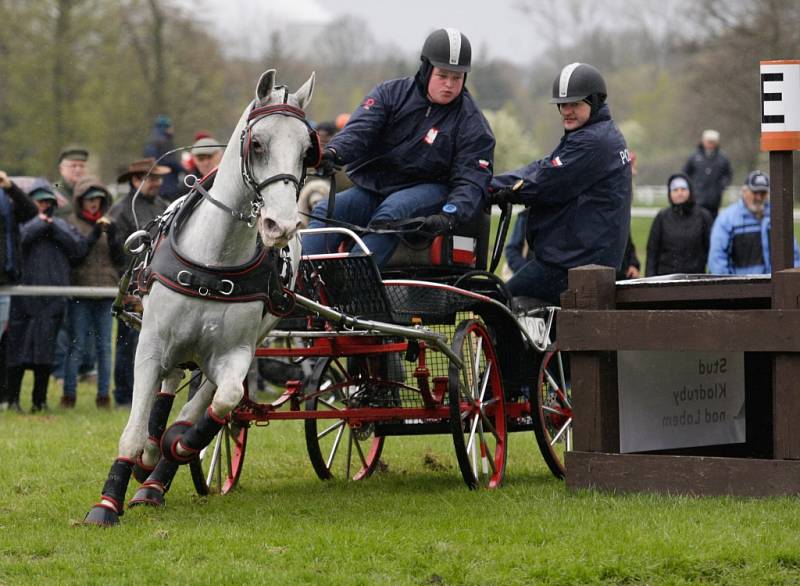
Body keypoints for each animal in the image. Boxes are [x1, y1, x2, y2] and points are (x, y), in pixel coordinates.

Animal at [84, 69, 316, 524]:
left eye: (306, 151)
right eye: (257, 144)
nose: (280, 225)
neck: (215, 261)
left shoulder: (237, 353)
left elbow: (224, 402)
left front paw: (180, 446)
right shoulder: (150, 344)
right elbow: (134, 429)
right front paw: (107, 502)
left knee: (202, 398)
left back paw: (156, 478)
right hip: (172, 343)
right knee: (166, 389)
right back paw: (147, 463)